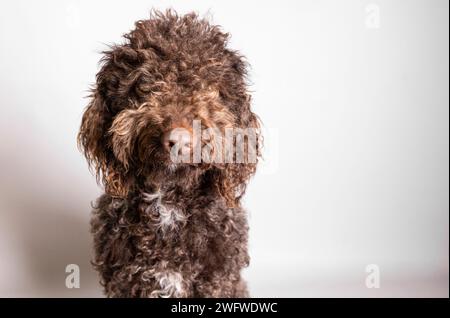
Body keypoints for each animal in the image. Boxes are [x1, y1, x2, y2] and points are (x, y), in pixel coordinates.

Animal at [78, 9, 260, 298]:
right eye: (146, 84)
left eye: (209, 89)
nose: (178, 139)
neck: (169, 200)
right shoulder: (126, 280)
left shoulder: (218, 280)